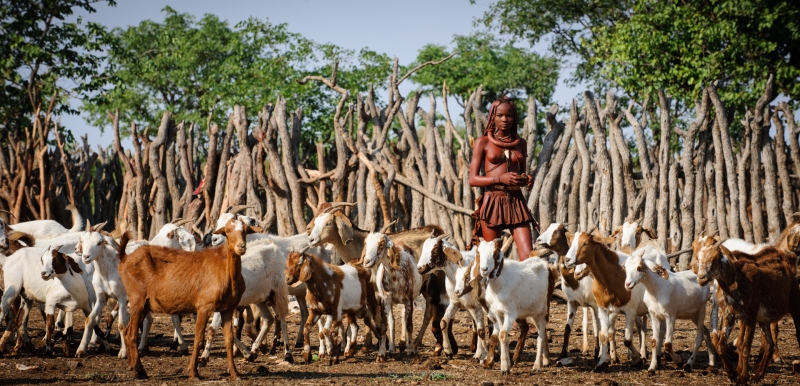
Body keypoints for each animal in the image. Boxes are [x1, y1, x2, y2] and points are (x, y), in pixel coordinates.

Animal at [117, 217, 260, 380]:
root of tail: (125, 258)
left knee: (127, 331)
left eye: (246, 230)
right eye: (228, 231)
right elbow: (198, 338)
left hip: (144, 305)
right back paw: (140, 371)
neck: (225, 270)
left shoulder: (228, 309)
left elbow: (229, 339)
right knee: (131, 334)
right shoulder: (204, 307)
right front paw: (193, 372)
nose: (241, 247)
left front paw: (235, 373)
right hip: (137, 299)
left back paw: (133, 367)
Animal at [564, 232, 648, 370]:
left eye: (585, 243)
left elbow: (627, 340)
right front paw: (602, 362)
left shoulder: (629, 311)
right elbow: (604, 335)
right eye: (571, 242)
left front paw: (637, 359)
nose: (567, 260)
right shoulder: (603, 309)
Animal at [692, 241, 800, 382]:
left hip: (795, 307)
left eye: (715, 259)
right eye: (699, 259)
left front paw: (743, 377)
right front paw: (732, 375)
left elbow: (745, 346)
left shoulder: (750, 317)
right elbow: (722, 346)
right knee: (769, 345)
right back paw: (758, 376)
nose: (701, 278)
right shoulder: (730, 315)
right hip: (764, 320)